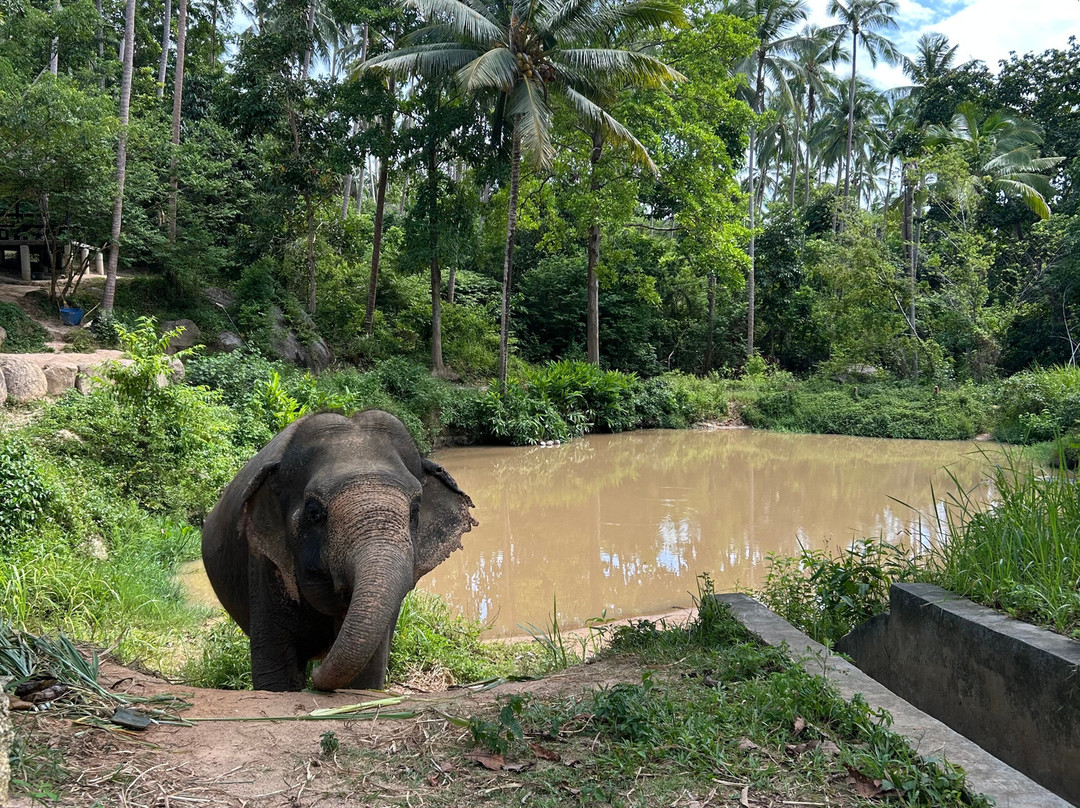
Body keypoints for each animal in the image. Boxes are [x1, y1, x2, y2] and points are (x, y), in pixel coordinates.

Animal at [201, 409, 476, 692]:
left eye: (415, 511)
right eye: (314, 513)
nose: (316, 676)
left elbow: (367, 673)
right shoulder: (264, 563)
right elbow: (275, 674)